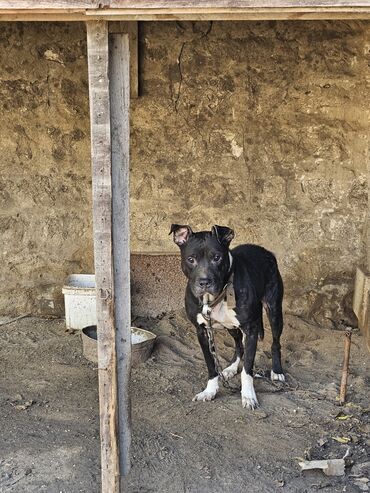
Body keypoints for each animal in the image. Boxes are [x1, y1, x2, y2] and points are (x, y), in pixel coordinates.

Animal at [169, 223, 284, 408]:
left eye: (217, 257)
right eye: (191, 259)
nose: (204, 282)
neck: (214, 298)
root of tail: (263, 250)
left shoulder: (251, 330)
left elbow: (247, 369)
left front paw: (248, 396)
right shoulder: (202, 332)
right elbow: (211, 365)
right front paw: (210, 390)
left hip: (274, 311)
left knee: (275, 343)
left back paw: (277, 371)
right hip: (231, 327)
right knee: (238, 345)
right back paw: (231, 368)